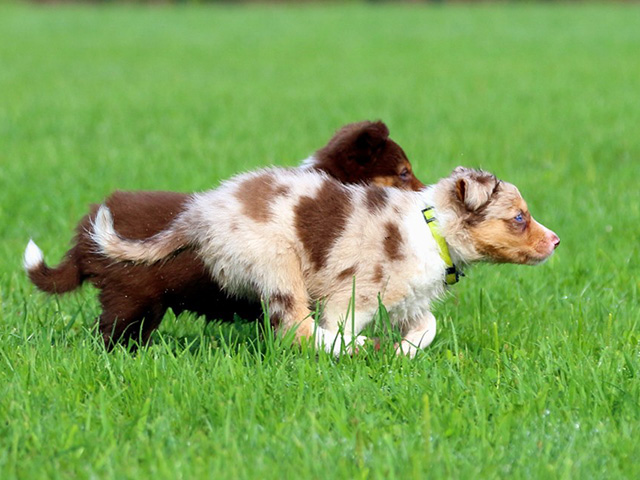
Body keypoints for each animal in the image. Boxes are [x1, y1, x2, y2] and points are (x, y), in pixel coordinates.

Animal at [90, 166, 560, 357]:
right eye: (519, 218)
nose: (557, 241)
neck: (435, 228)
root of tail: (199, 213)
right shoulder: (354, 293)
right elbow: (338, 325)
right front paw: (361, 348)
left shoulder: (409, 297)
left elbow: (428, 326)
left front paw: (405, 352)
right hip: (278, 263)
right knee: (295, 329)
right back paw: (358, 347)